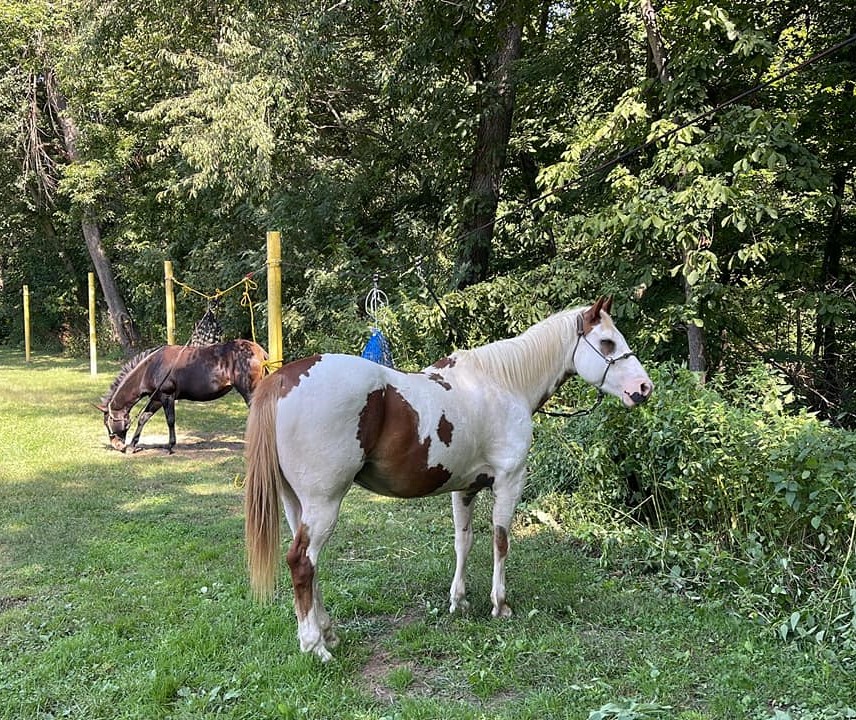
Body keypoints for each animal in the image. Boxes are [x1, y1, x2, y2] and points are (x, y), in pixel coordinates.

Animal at [96, 340, 268, 452]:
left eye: (108, 422)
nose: (117, 446)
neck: (150, 368)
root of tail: (260, 352)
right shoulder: (157, 398)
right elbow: (143, 418)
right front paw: (133, 444)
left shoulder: (167, 396)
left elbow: (170, 420)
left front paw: (170, 446)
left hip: (250, 392)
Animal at [244, 296, 652, 660]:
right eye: (607, 342)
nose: (644, 388)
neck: (503, 383)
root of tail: (281, 380)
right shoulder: (510, 481)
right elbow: (501, 542)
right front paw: (499, 604)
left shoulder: (465, 488)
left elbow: (463, 542)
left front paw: (459, 600)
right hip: (324, 503)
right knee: (302, 563)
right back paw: (315, 646)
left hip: (297, 505)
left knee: (310, 566)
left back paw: (327, 632)